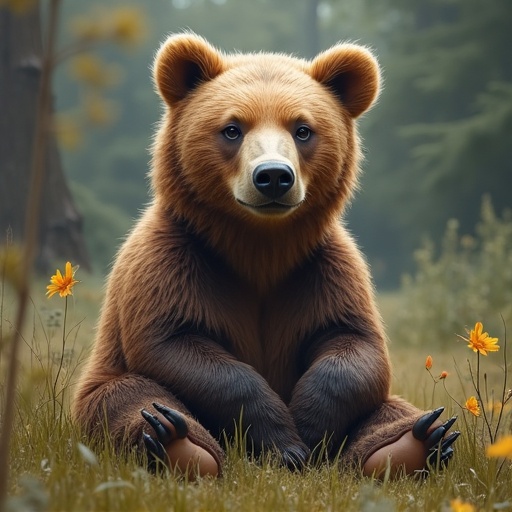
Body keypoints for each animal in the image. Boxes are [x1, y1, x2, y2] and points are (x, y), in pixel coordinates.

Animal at [71, 34, 456, 478]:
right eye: (232, 129)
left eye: (303, 129)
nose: (273, 176)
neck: (259, 248)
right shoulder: (174, 260)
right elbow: (175, 341)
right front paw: (285, 444)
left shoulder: (322, 270)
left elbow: (353, 343)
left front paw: (308, 429)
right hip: (102, 381)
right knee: (128, 398)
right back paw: (173, 439)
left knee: (392, 409)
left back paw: (417, 440)